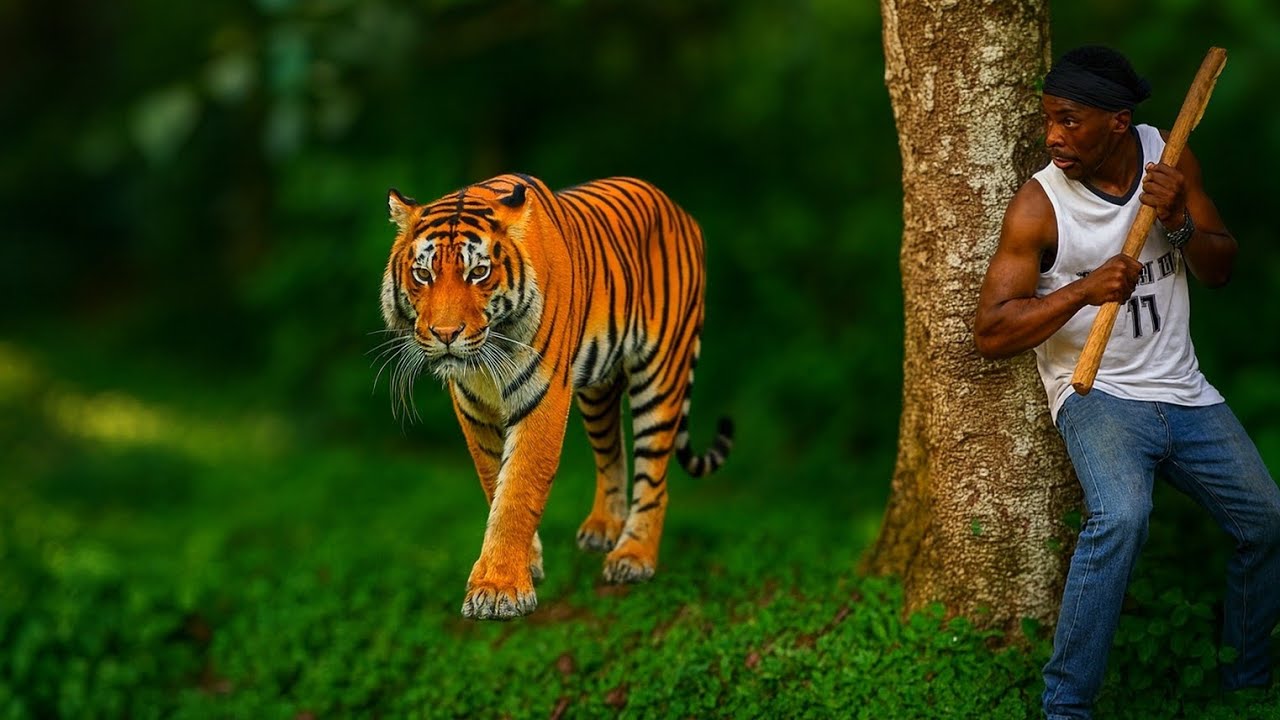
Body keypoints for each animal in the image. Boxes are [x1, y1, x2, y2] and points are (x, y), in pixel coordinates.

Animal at [378, 173, 734, 620]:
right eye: (423, 274)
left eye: (479, 272)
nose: (445, 334)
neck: (486, 360)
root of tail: (679, 209)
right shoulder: (473, 409)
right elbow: (494, 482)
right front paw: (524, 565)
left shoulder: (541, 397)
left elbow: (517, 490)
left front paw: (499, 589)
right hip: (598, 390)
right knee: (612, 452)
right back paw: (603, 529)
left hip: (662, 373)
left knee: (654, 475)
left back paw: (633, 557)